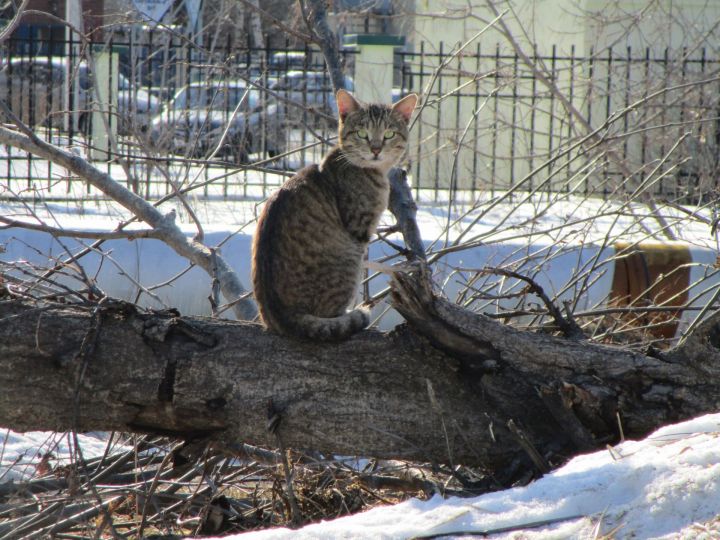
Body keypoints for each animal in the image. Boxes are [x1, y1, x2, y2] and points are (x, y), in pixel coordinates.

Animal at [252, 89, 416, 342]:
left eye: (389, 134)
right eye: (362, 133)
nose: (376, 149)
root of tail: (282, 316)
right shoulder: (361, 230)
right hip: (349, 259)